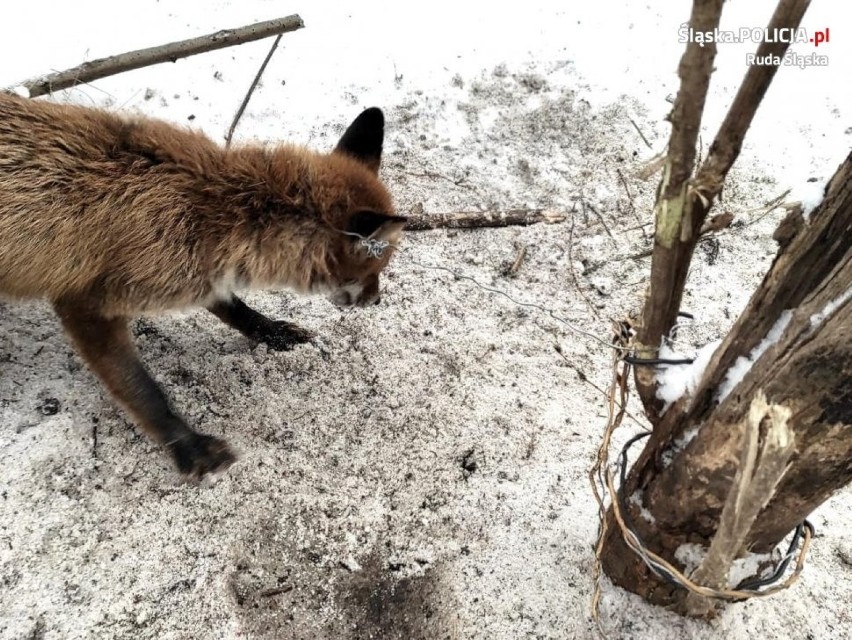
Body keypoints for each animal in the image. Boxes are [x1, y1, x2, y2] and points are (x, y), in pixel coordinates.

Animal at [0, 92, 406, 478]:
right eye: (375, 266)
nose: (377, 300)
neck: (213, 209)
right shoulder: (84, 305)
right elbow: (145, 392)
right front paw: (191, 448)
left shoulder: (202, 274)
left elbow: (237, 309)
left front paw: (274, 334)